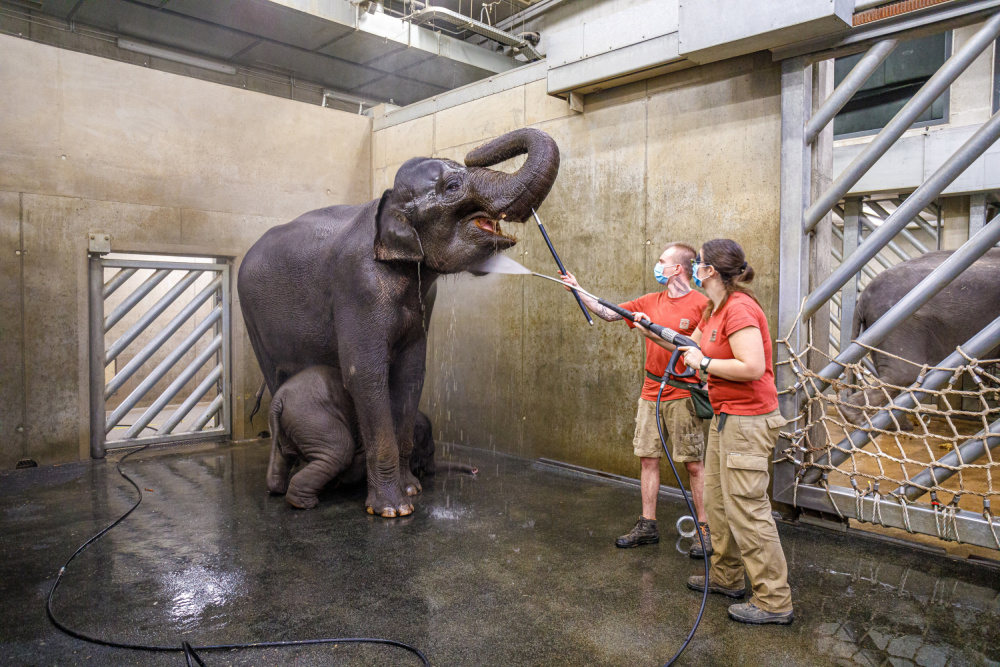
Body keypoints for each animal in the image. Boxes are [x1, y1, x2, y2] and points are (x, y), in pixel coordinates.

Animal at [262, 368, 472, 508]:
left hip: (290, 428)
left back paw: (279, 489)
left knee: (283, 457)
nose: (475, 470)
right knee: (339, 451)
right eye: (430, 452)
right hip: (314, 421)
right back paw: (305, 503)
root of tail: (279, 399)